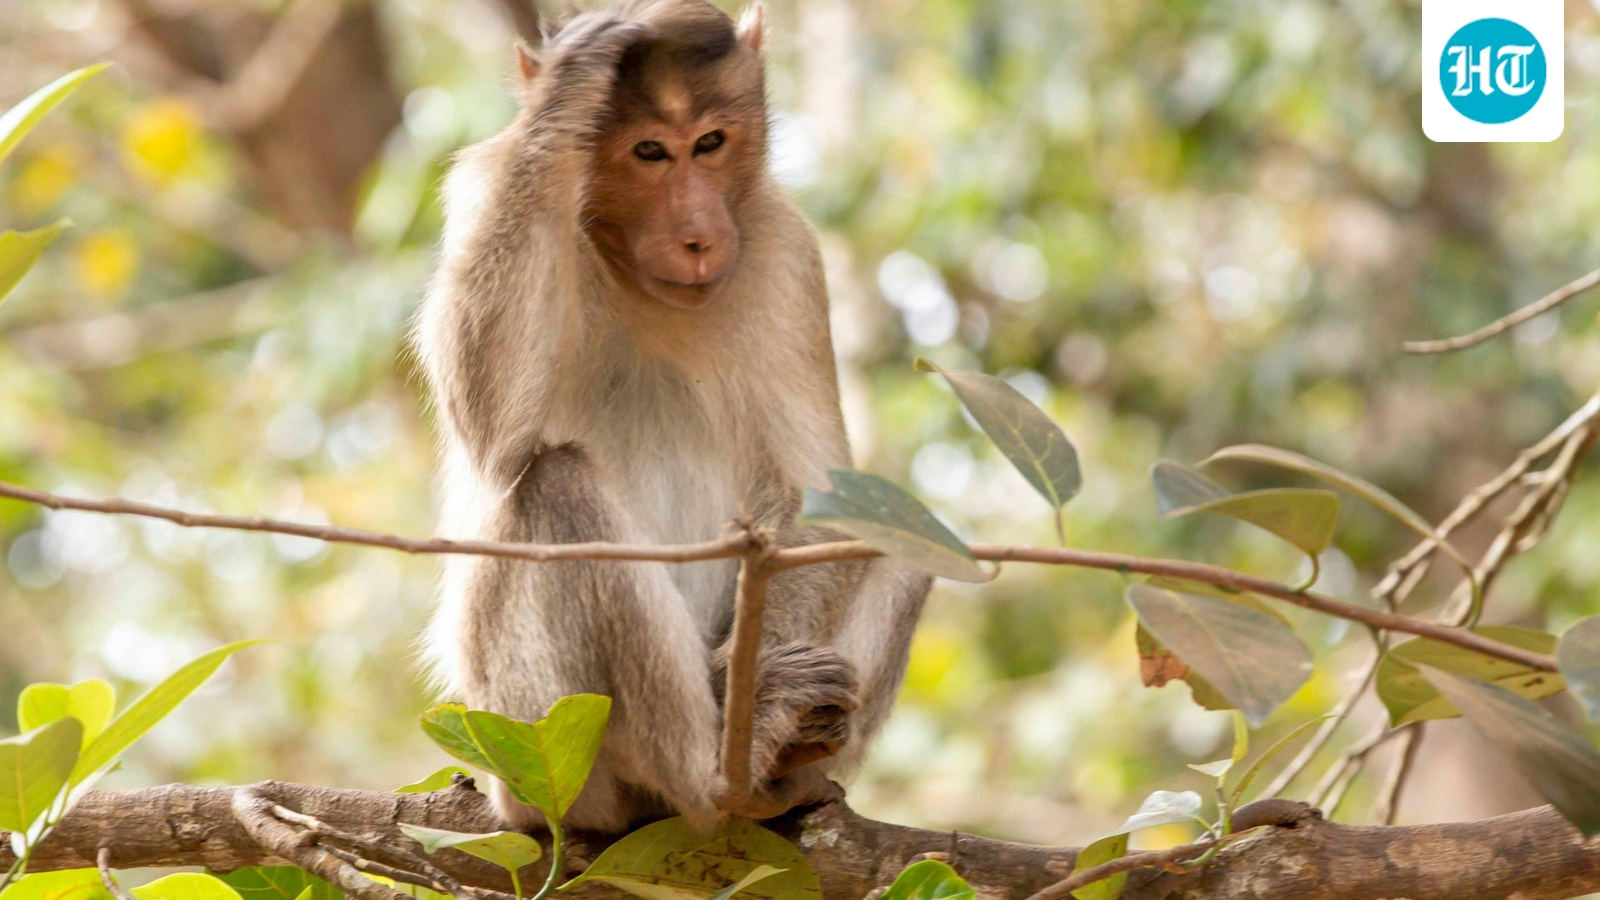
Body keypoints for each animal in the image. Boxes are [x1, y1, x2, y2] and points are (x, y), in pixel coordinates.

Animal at [413, 0, 932, 834]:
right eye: (650, 151)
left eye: (711, 143)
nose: (698, 236)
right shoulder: (486, 184)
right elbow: (494, 433)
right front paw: (571, 84)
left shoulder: (783, 248)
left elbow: (820, 495)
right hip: (529, 741)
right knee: (554, 485)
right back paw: (715, 763)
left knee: (904, 524)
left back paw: (787, 767)